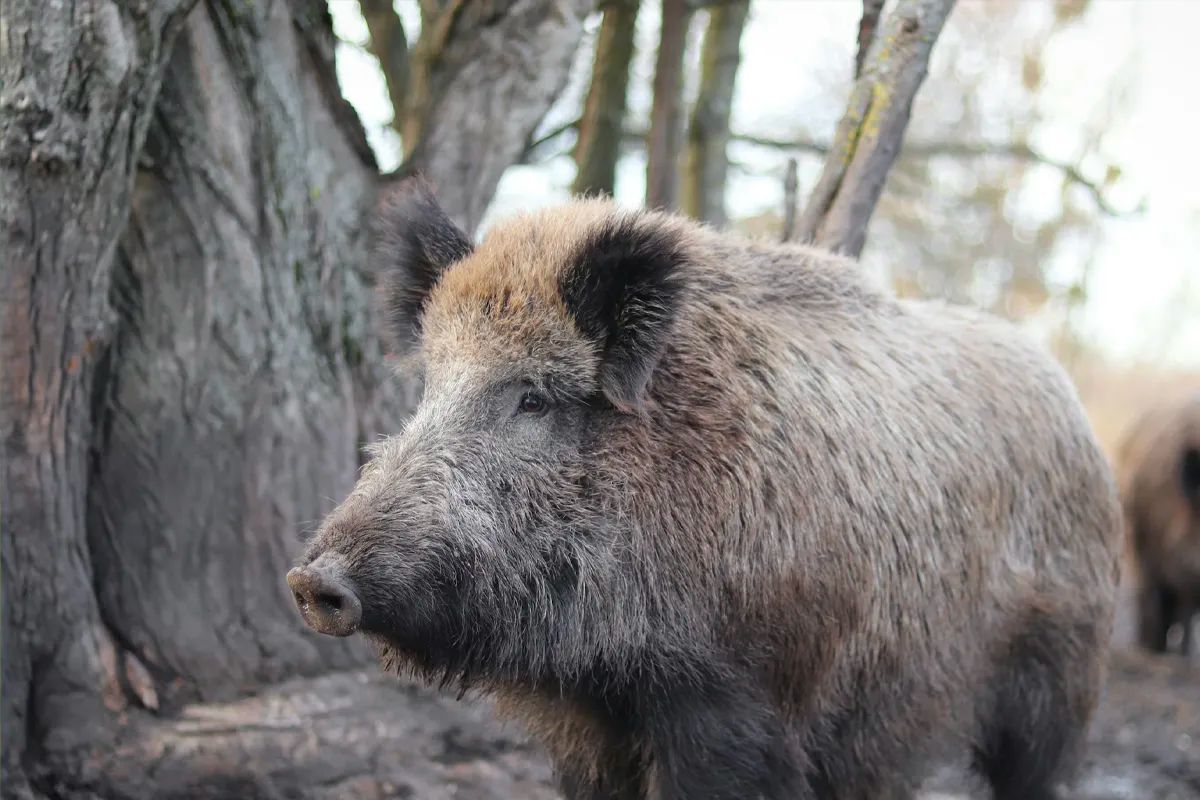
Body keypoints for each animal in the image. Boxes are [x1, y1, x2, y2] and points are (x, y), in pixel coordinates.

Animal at [287, 179, 1121, 800]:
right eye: (430, 384)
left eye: (533, 397)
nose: (311, 580)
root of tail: (1074, 406)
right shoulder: (585, 728)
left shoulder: (736, 701)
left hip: (1059, 670)